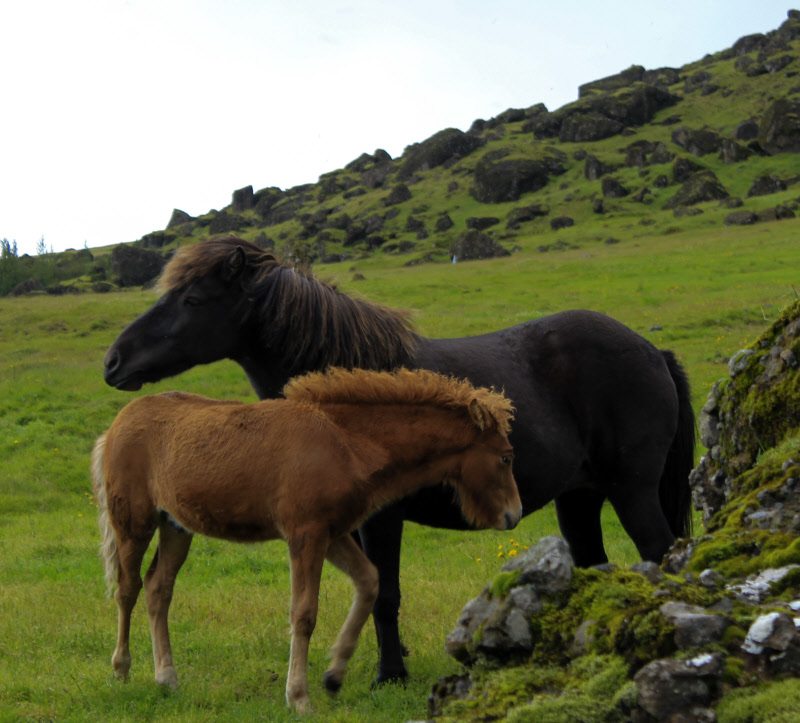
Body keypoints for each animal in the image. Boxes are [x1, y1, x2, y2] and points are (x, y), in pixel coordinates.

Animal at [104, 238, 692, 684]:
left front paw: (389, 675)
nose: (114, 360)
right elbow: (370, 591)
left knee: (660, 553)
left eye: (193, 299)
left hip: (632, 492)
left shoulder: (383, 519)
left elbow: (385, 593)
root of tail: (651, 352)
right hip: (581, 499)